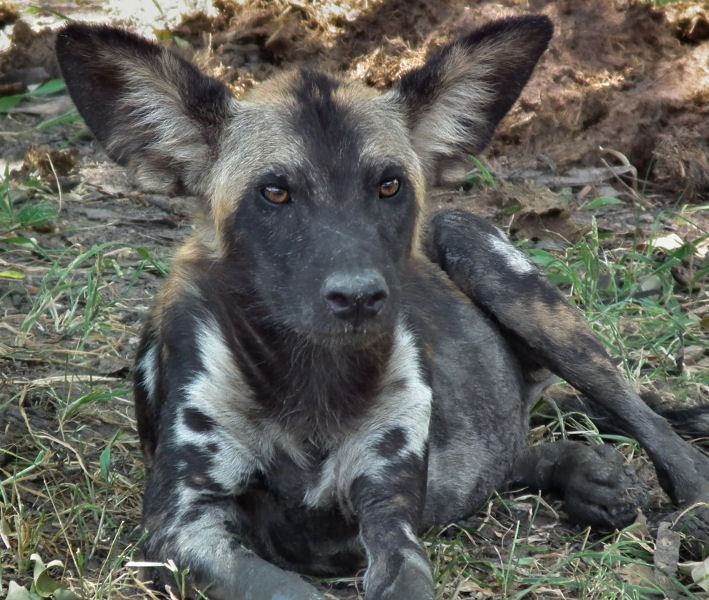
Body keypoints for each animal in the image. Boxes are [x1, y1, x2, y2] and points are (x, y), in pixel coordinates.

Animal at [56, 16, 708, 596]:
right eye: (274, 192)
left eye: (389, 185)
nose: (359, 295)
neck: (311, 382)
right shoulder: (182, 529)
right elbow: (283, 589)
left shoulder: (389, 508)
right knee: (510, 456)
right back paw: (588, 477)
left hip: (497, 270)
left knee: (645, 420)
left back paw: (686, 502)